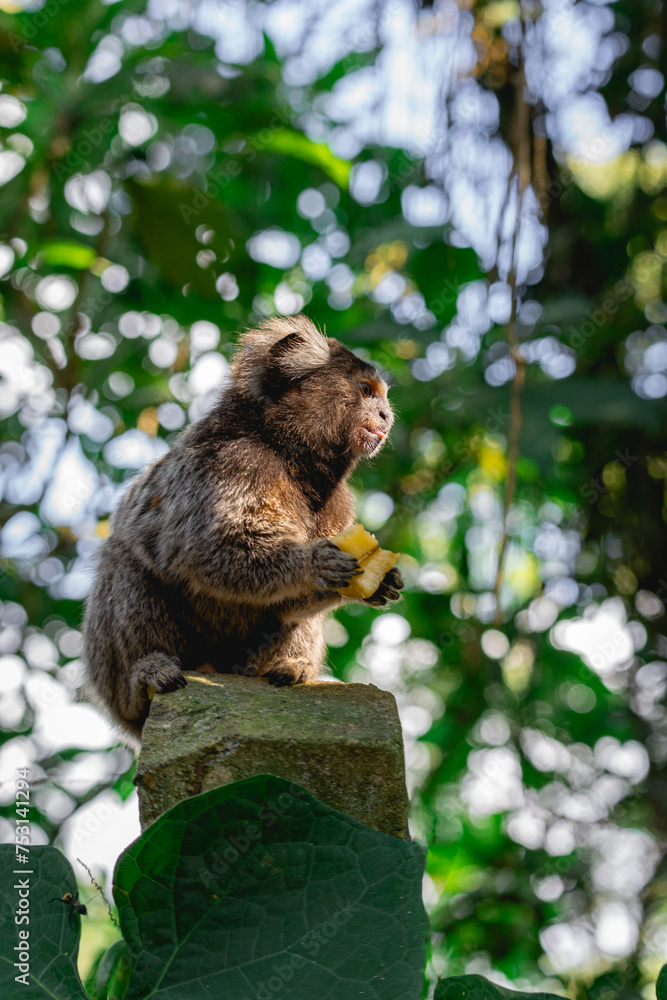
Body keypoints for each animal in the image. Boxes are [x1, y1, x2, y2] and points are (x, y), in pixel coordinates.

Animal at [82, 315, 403, 747]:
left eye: (382, 397)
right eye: (366, 391)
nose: (385, 415)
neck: (288, 453)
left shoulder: (340, 507)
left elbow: (288, 601)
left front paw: (379, 582)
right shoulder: (231, 464)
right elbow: (206, 552)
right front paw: (313, 562)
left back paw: (292, 667)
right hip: (114, 676)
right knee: (124, 560)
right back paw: (143, 679)